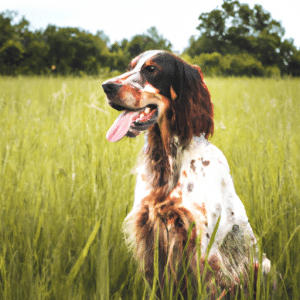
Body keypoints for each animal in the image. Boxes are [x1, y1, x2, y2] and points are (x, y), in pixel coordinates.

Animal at [102, 50, 270, 298]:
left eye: (151, 69)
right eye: (131, 67)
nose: (106, 86)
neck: (168, 162)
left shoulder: (202, 247)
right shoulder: (149, 234)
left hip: (262, 266)